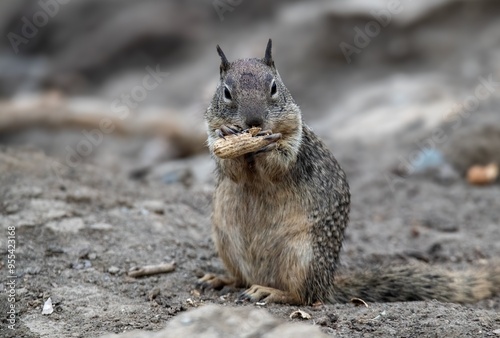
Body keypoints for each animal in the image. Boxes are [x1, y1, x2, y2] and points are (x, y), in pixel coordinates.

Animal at [200, 40, 500, 306]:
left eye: (273, 87)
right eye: (226, 92)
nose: (254, 121)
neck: (251, 151)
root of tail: (328, 284)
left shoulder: (295, 140)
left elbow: (279, 163)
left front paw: (269, 145)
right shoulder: (214, 141)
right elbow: (231, 168)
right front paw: (229, 133)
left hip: (302, 257)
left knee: (304, 296)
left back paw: (271, 292)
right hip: (225, 243)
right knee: (243, 279)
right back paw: (221, 279)